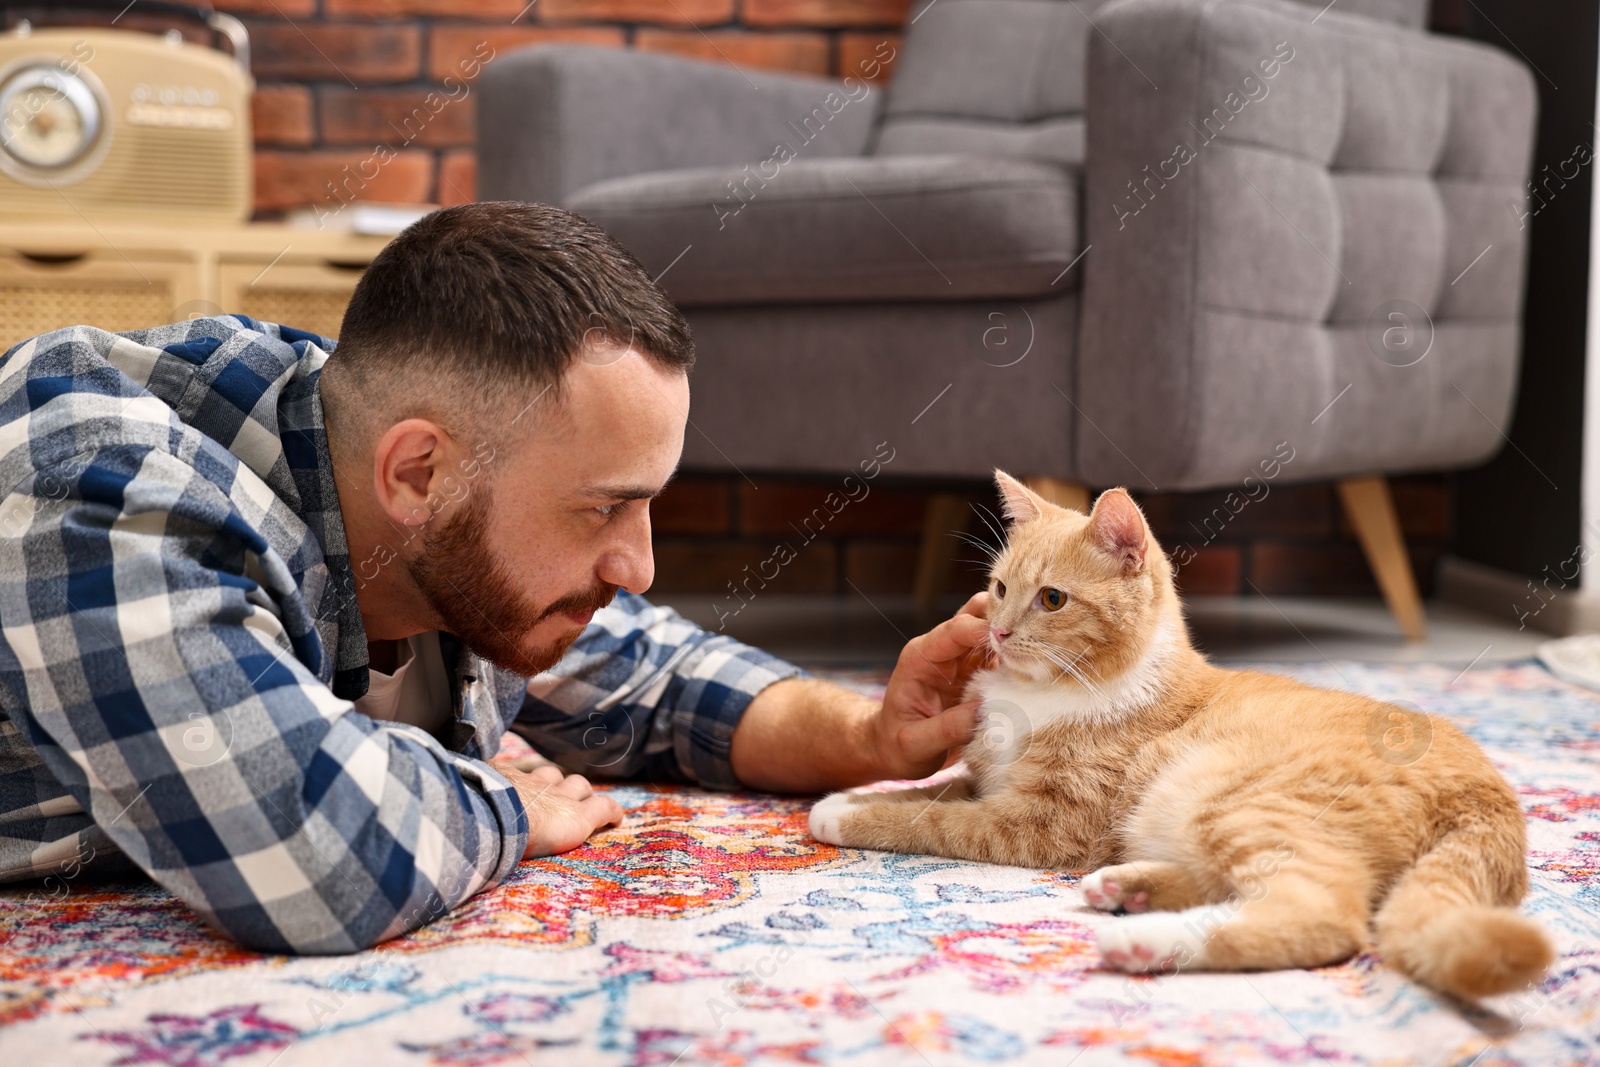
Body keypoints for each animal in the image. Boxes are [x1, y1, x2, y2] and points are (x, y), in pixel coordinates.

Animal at [812, 470, 1548, 998]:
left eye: (1051, 599)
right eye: (996, 588)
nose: (997, 632)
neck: (1045, 694)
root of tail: (1488, 790)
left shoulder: (1042, 824)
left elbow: (936, 819)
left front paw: (844, 812)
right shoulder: (987, 780)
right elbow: (933, 788)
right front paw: (859, 794)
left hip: (1235, 796)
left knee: (1322, 913)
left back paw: (1145, 942)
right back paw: (1129, 889)